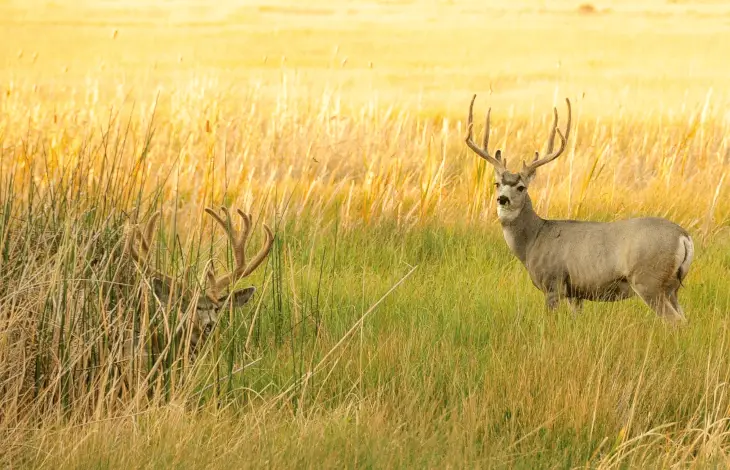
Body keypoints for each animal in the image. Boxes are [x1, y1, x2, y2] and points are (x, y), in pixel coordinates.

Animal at [464, 95, 692, 324]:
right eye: (496, 184)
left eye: (521, 187)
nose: (502, 199)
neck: (533, 239)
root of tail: (684, 237)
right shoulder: (575, 293)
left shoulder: (553, 282)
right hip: (671, 287)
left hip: (649, 280)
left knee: (675, 321)